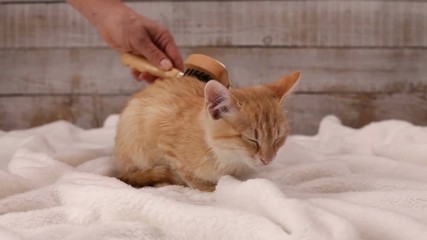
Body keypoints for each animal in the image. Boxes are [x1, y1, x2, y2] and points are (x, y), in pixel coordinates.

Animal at [113, 71, 300, 191]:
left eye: (278, 139)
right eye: (251, 139)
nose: (268, 160)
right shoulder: (160, 133)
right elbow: (183, 171)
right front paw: (204, 187)